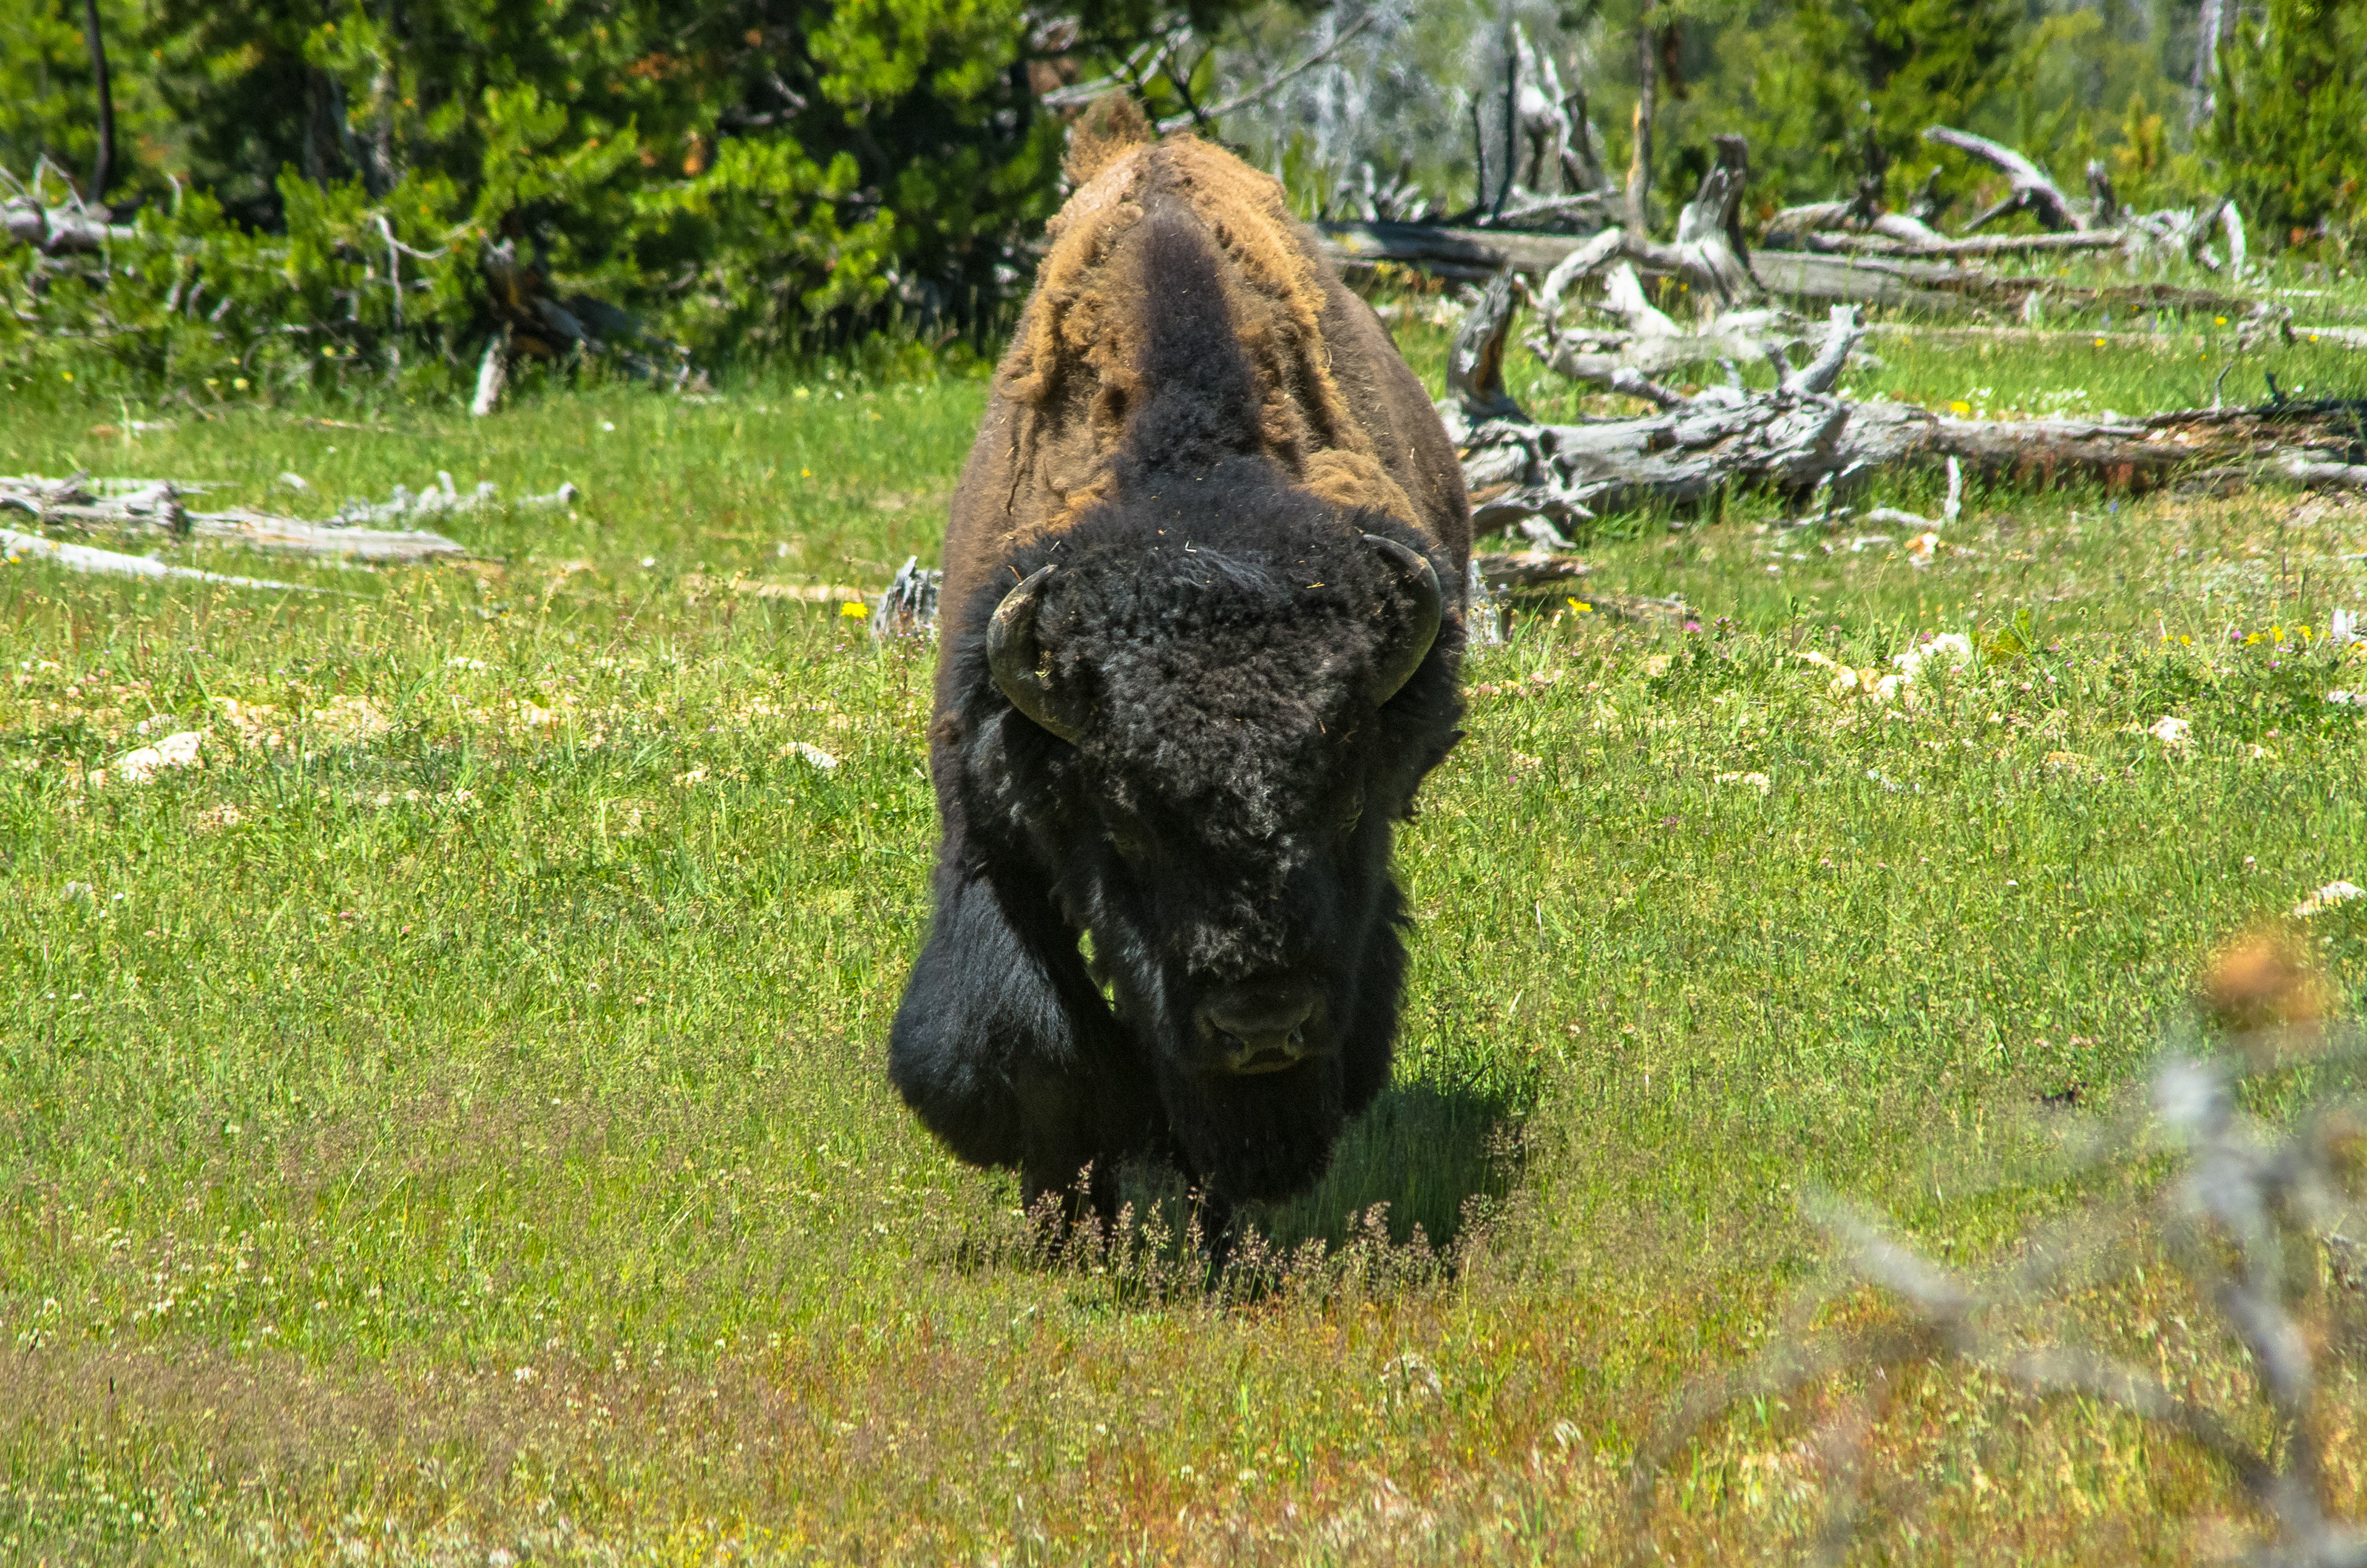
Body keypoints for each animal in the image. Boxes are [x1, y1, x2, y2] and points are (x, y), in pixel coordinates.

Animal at [888, 102, 1471, 1239]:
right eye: (1124, 824)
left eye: (1347, 804)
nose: (1262, 1021)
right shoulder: (989, 815)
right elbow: (1022, 1040)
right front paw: (1078, 1210)